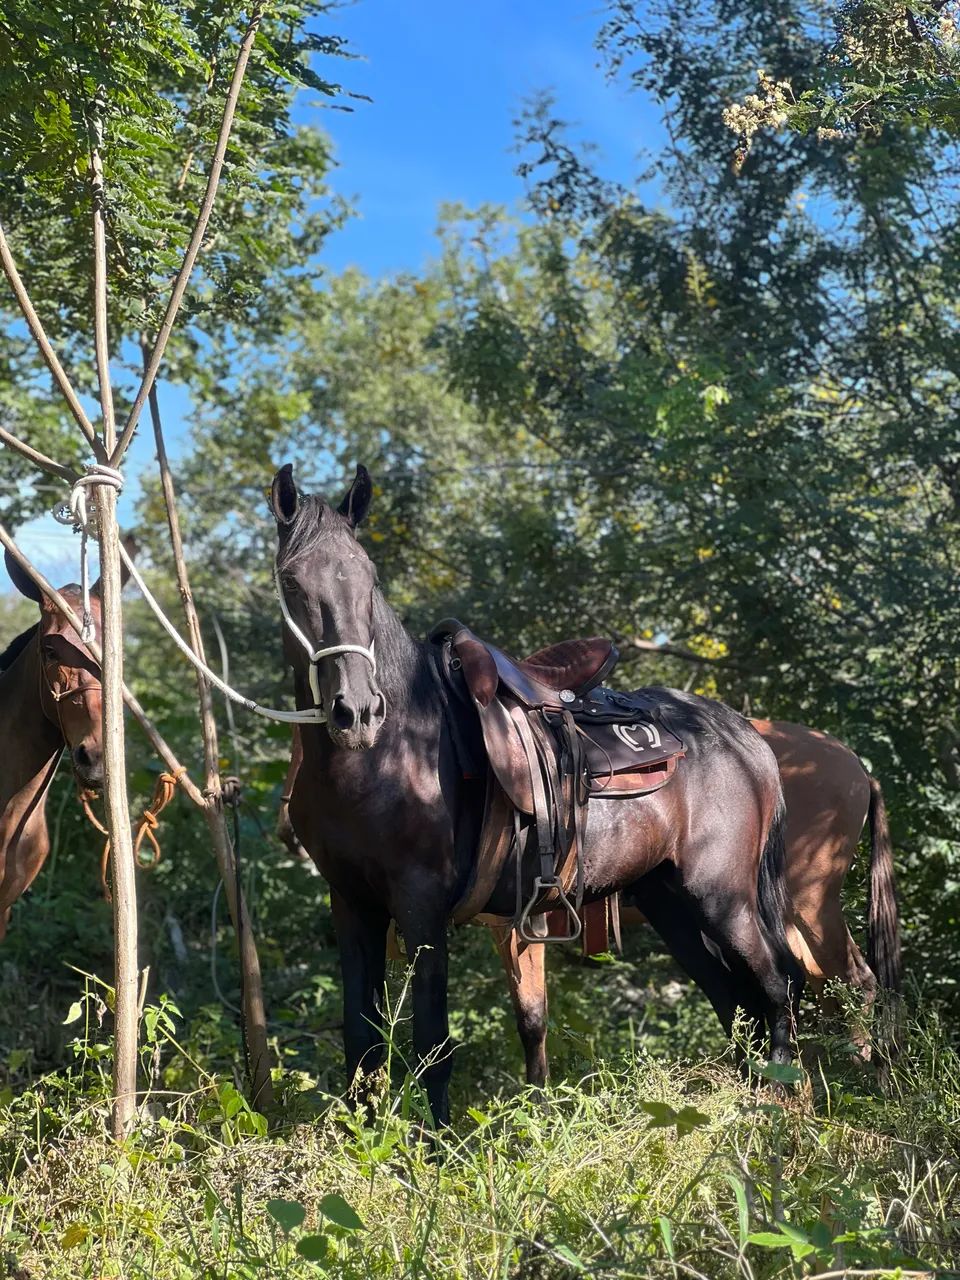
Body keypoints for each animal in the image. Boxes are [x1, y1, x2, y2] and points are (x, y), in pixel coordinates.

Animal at [271, 463, 803, 1125]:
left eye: (369, 579)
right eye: (292, 581)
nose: (358, 711)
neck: (387, 754)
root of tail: (742, 736)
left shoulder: (421, 908)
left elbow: (432, 1044)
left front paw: (433, 1146)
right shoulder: (352, 905)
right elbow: (361, 1043)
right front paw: (366, 1140)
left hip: (723, 898)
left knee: (776, 985)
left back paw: (781, 1106)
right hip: (671, 901)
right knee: (734, 1001)